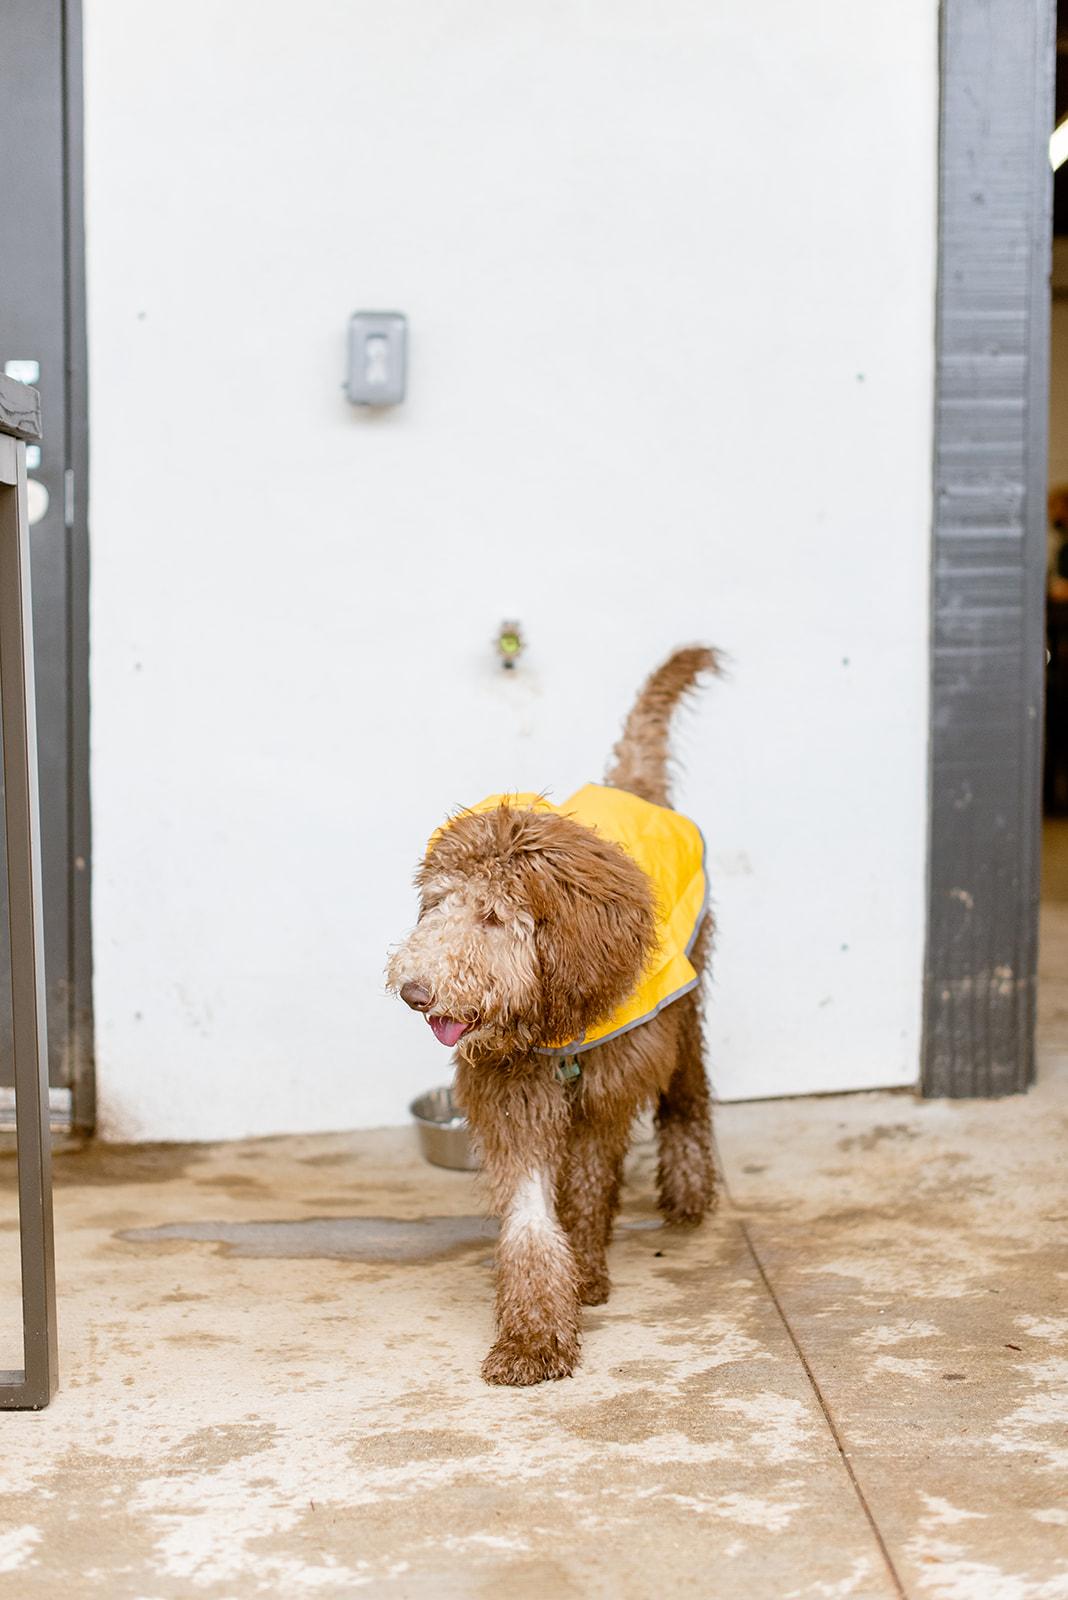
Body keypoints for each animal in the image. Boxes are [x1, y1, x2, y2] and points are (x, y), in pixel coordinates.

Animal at [388, 649, 722, 1388]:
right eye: (438, 904)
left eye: (491, 915)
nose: (415, 992)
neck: (552, 1018)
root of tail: (629, 787)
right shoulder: (515, 1092)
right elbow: (531, 1215)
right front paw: (533, 1335)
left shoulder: (605, 1083)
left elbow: (591, 1181)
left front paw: (588, 1274)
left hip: (684, 995)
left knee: (688, 1086)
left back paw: (689, 1190)